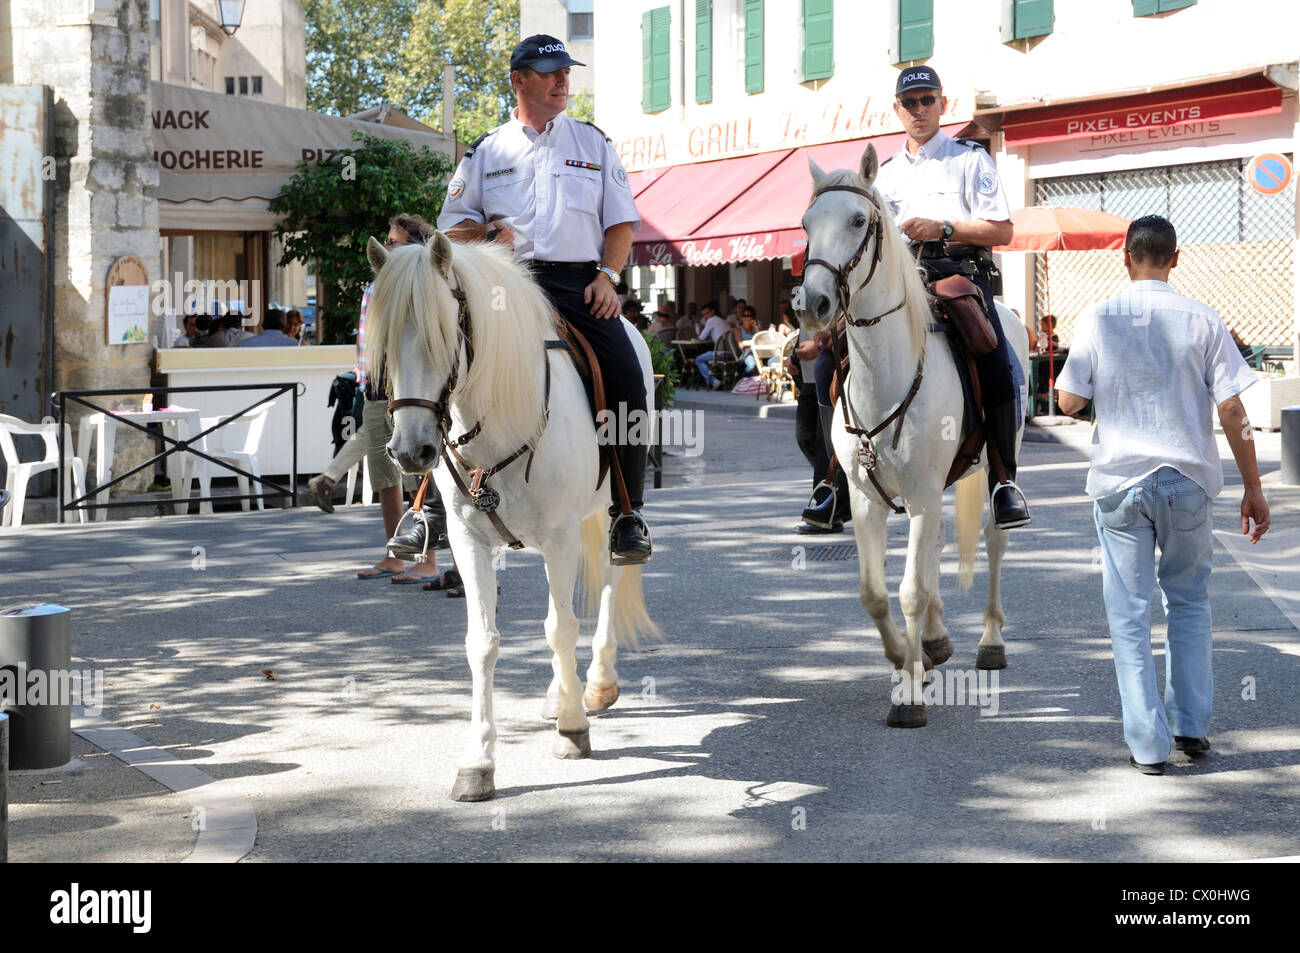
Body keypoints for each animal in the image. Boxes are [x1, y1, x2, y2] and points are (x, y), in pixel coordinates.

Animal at [364, 234, 655, 800]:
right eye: (384, 344)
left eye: (443, 334)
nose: (412, 451)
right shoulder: (468, 542)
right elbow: (484, 643)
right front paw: (478, 763)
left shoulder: (561, 537)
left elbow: (561, 629)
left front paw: (573, 731)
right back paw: (558, 693)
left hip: (605, 513)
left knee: (607, 581)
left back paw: (595, 686)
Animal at [795, 144, 1029, 728]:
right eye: (806, 223)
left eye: (859, 220)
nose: (813, 304)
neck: (889, 374)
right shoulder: (865, 498)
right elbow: (875, 594)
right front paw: (907, 656)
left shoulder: (922, 493)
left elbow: (911, 591)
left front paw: (909, 695)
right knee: (940, 546)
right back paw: (936, 640)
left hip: (998, 461)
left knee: (994, 538)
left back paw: (990, 642)